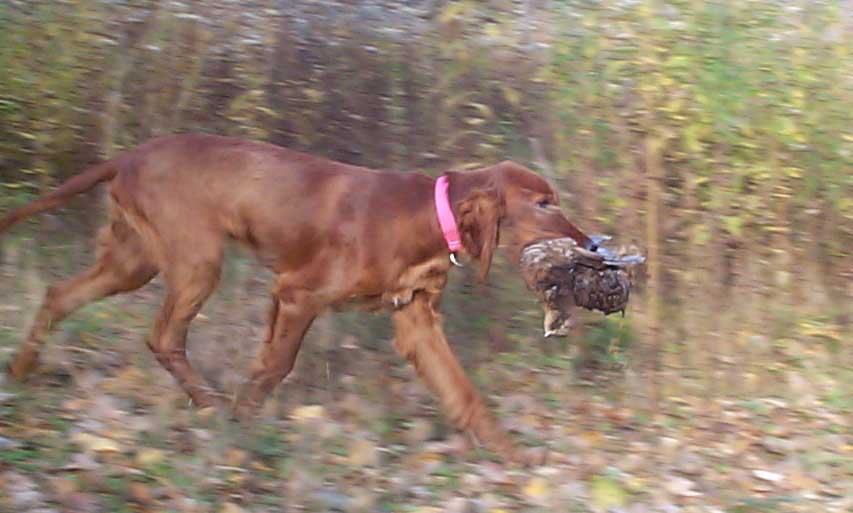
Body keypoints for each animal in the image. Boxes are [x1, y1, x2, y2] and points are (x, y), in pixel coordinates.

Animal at [0, 133, 588, 464]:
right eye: (542, 204)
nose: (590, 245)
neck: (426, 215)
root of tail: (129, 155)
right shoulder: (297, 294)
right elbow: (273, 367)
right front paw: (241, 429)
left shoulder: (415, 321)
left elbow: (465, 394)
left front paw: (516, 463)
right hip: (197, 261)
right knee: (162, 336)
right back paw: (210, 406)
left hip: (135, 260)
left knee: (59, 294)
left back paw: (21, 373)